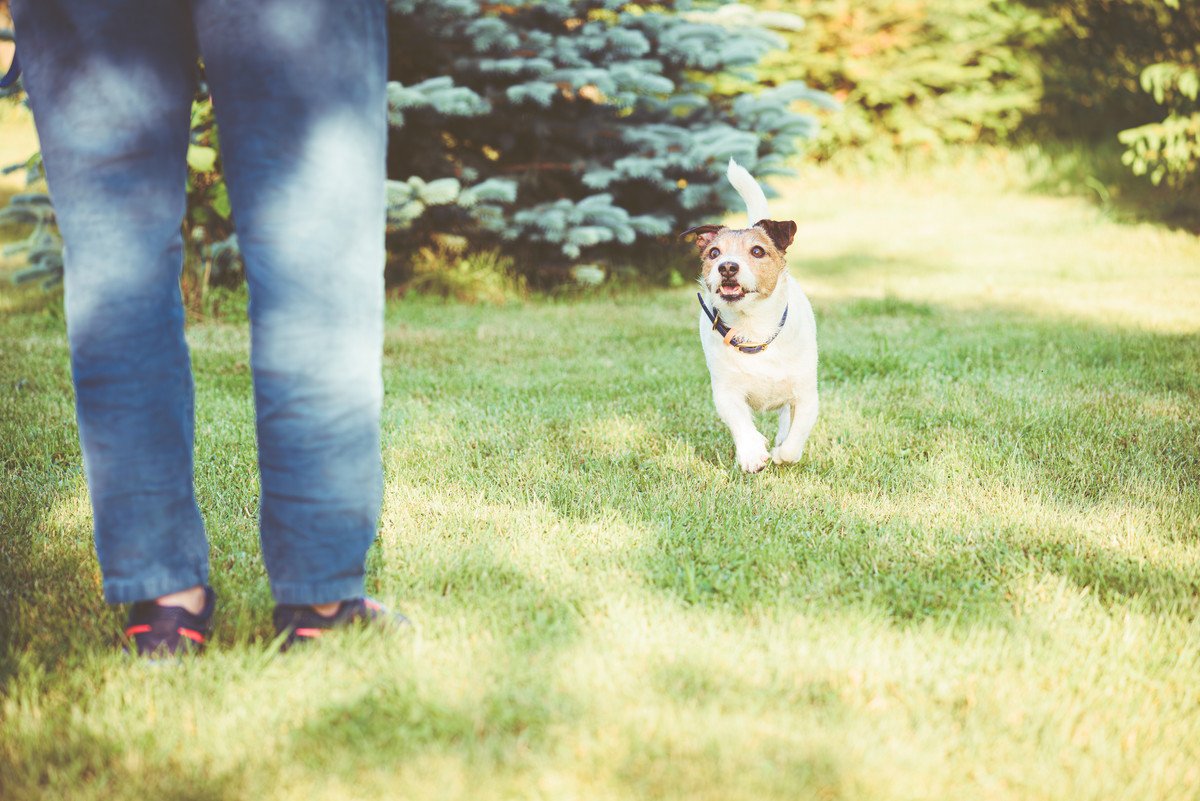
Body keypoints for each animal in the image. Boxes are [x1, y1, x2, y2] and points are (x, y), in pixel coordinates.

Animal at [681, 159, 820, 472]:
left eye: (757, 251)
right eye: (714, 253)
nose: (727, 267)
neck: (752, 326)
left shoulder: (807, 395)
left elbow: (797, 433)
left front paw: (783, 453)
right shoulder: (725, 391)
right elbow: (740, 422)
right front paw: (752, 452)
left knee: (785, 418)